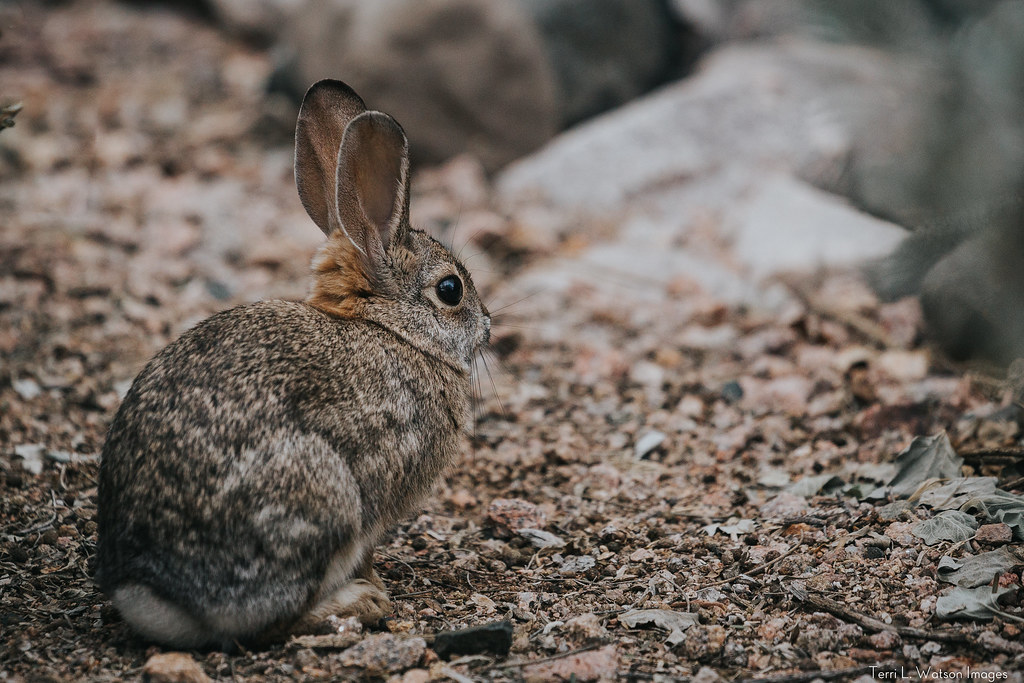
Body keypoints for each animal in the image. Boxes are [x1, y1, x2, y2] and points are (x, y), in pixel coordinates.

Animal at [94, 79, 491, 649]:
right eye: (450, 290)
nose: (488, 325)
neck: (392, 330)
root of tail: (151, 591)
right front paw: (374, 583)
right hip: (321, 498)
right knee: (277, 620)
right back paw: (359, 603)